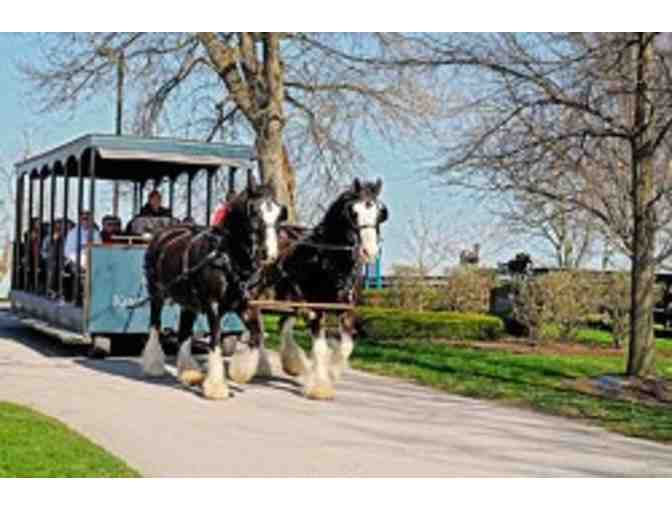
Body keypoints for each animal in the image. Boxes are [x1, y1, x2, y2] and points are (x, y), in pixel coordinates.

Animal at [140, 175, 288, 398]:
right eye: (254, 212)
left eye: (278, 214)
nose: (268, 254)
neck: (228, 257)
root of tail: (162, 234)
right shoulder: (213, 304)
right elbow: (216, 339)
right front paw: (217, 387)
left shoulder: (246, 304)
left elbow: (256, 335)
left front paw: (240, 373)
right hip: (156, 293)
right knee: (155, 325)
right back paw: (154, 365)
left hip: (188, 301)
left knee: (184, 332)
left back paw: (189, 372)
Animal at [268, 178, 386, 398]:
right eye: (353, 212)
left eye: (379, 213)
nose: (369, 251)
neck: (330, 261)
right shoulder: (316, 309)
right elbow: (320, 348)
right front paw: (320, 387)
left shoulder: (346, 309)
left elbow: (347, 345)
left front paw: (331, 372)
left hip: (292, 300)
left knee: (283, 325)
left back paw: (293, 364)